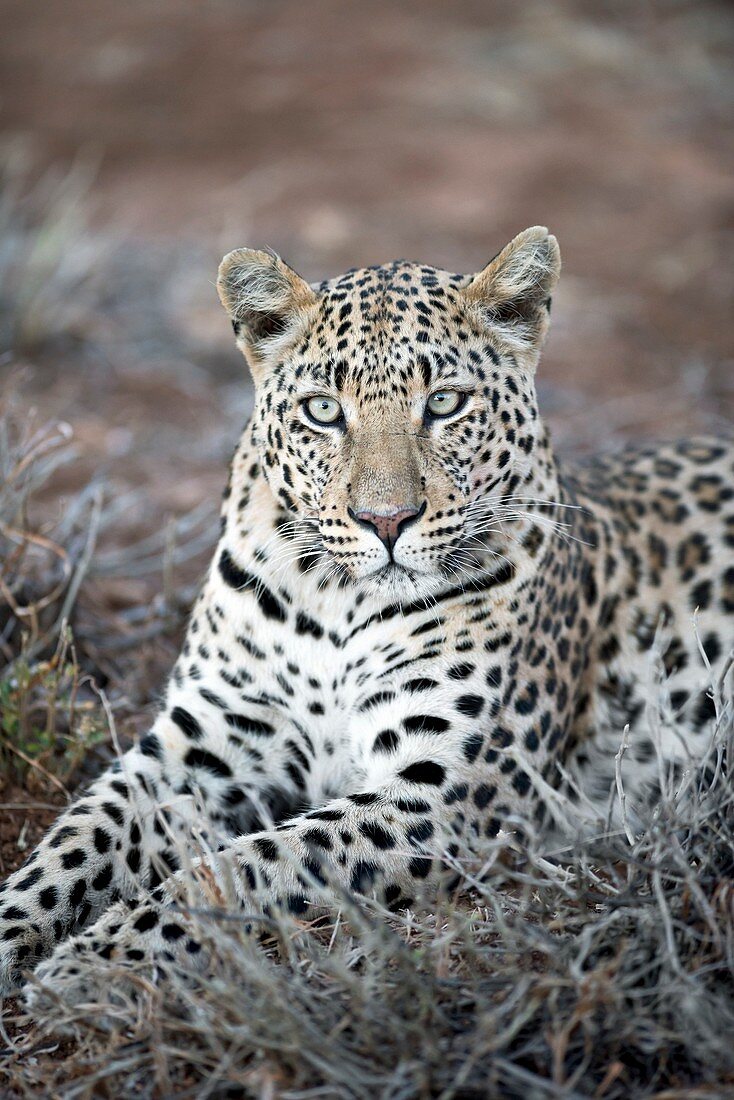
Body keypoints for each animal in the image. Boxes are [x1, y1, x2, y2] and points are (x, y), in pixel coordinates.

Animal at [1, 227, 734, 1007]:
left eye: (444, 403)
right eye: (325, 411)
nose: (386, 521)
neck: (338, 603)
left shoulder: (443, 788)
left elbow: (244, 864)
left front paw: (97, 960)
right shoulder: (204, 739)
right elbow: (86, 831)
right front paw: (16, 926)